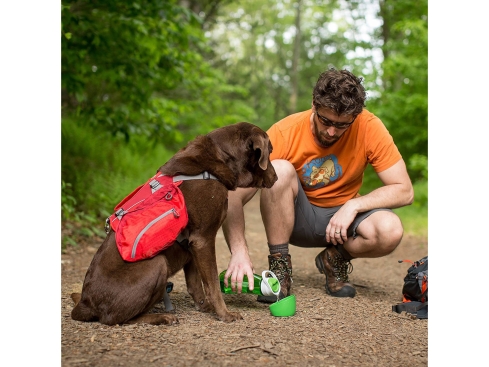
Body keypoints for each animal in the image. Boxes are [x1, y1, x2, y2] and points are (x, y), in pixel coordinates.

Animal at [70, 122, 276, 326]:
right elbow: (212, 285)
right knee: (118, 318)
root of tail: (85, 304)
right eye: (270, 151)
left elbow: (196, 284)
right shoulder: (203, 239)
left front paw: (205, 308)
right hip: (158, 264)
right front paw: (225, 314)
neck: (222, 157)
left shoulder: (192, 245)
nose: (276, 177)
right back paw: (162, 317)